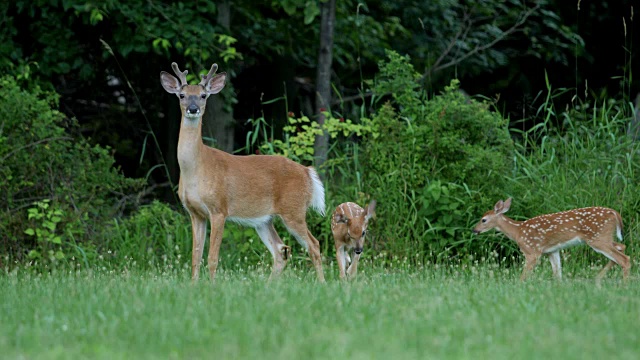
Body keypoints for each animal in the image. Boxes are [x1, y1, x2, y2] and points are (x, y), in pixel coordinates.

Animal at [160, 62, 324, 282]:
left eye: (203, 95)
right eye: (182, 95)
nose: (193, 109)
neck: (196, 169)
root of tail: (308, 173)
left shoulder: (219, 209)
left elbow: (212, 258)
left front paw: (211, 286)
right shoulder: (195, 213)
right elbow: (195, 257)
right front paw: (194, 286)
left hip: (294, 210)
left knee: (314, 245)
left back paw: (322, 283)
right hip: (264, 219)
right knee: (281, 250)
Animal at [476, 198, 632, 282]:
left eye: (483, 220)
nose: (474, 230)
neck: (517, 231)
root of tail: (615, 213)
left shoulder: (532, 251)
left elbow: (524, 276)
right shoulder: (552, 251)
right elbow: (558, 275)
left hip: (597, 238)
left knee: (624, 258)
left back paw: (622, 285)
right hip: (604, 237)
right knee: (621, 247)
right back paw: (598, 280)